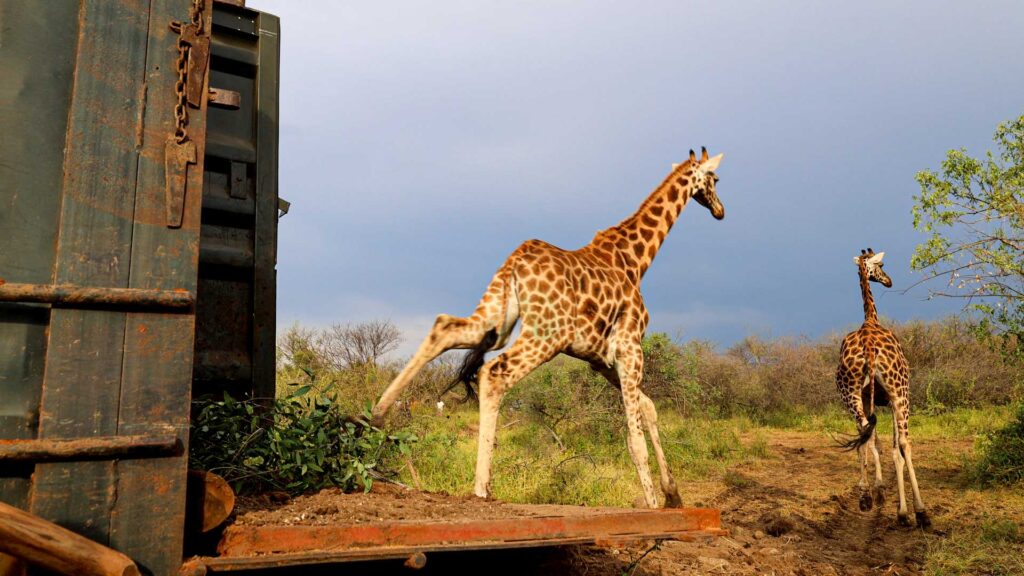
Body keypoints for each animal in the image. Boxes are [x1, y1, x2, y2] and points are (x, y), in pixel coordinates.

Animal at [371, 148, 726, 508]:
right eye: (715, 178)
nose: (720, 210)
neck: (635, 261)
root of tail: (514, 263)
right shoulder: (629, 348)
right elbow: (634, 440)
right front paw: (654, 504)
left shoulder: (601, 360)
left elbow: (648, 409)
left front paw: (673, 495)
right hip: (545, 334)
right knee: (494, 372)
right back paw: (482, 487)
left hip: (494, 316)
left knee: (444, 327)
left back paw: (376, 416)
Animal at [835, 248, 930, 528]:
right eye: (882, 265)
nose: (888, 281)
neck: (870, 319)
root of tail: (868, 347)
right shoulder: (891, 399)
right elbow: (896, 448)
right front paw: (905, 511)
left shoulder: (871, 401)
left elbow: (874, 441)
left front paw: (878, 491)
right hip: (901, 394)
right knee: (905, 444)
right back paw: (920, 512)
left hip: (850, 395)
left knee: (863, 433)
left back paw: (866, 496)